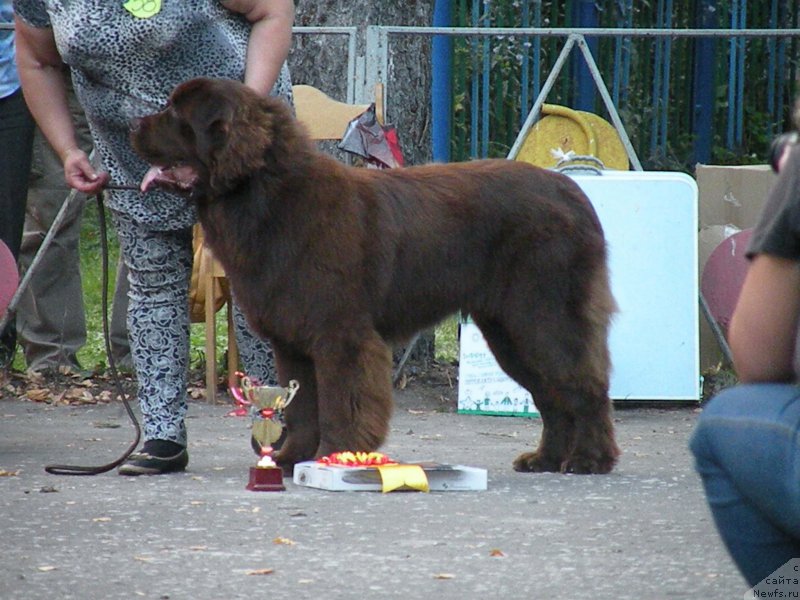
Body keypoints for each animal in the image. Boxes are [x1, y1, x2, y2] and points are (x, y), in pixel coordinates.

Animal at [131, 77, 620, 476]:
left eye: (176, 115)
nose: (133, 124)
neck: (269, 198)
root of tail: (572, 192)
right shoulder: (293, 343)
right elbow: (302, 408)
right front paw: (290, 460)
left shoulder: (341, 336)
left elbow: (340, 405)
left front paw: (336, 458)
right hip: (508, 332)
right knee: (551, 395)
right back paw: (546, 459)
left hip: (543, 316)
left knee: (584, 385)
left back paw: (589, 460)